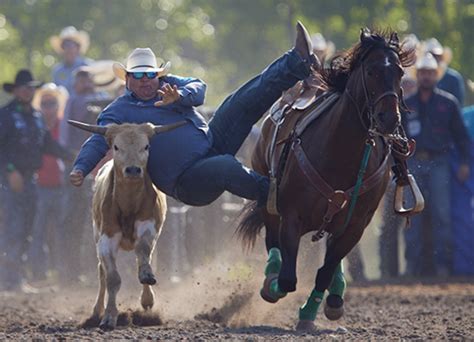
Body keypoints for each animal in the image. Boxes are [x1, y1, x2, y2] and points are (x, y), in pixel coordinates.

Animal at [236, 28, 414, 332]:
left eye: (400, 72)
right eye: (371, 71)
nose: (390, 119)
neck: (340, 152)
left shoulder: (356, 224)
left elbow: (326, 270)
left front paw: (315, 310)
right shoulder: (291, 215)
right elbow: (287, 278)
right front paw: (274, 286)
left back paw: (336, 291)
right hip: (268, 199)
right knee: (272, 241)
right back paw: (270, 279)